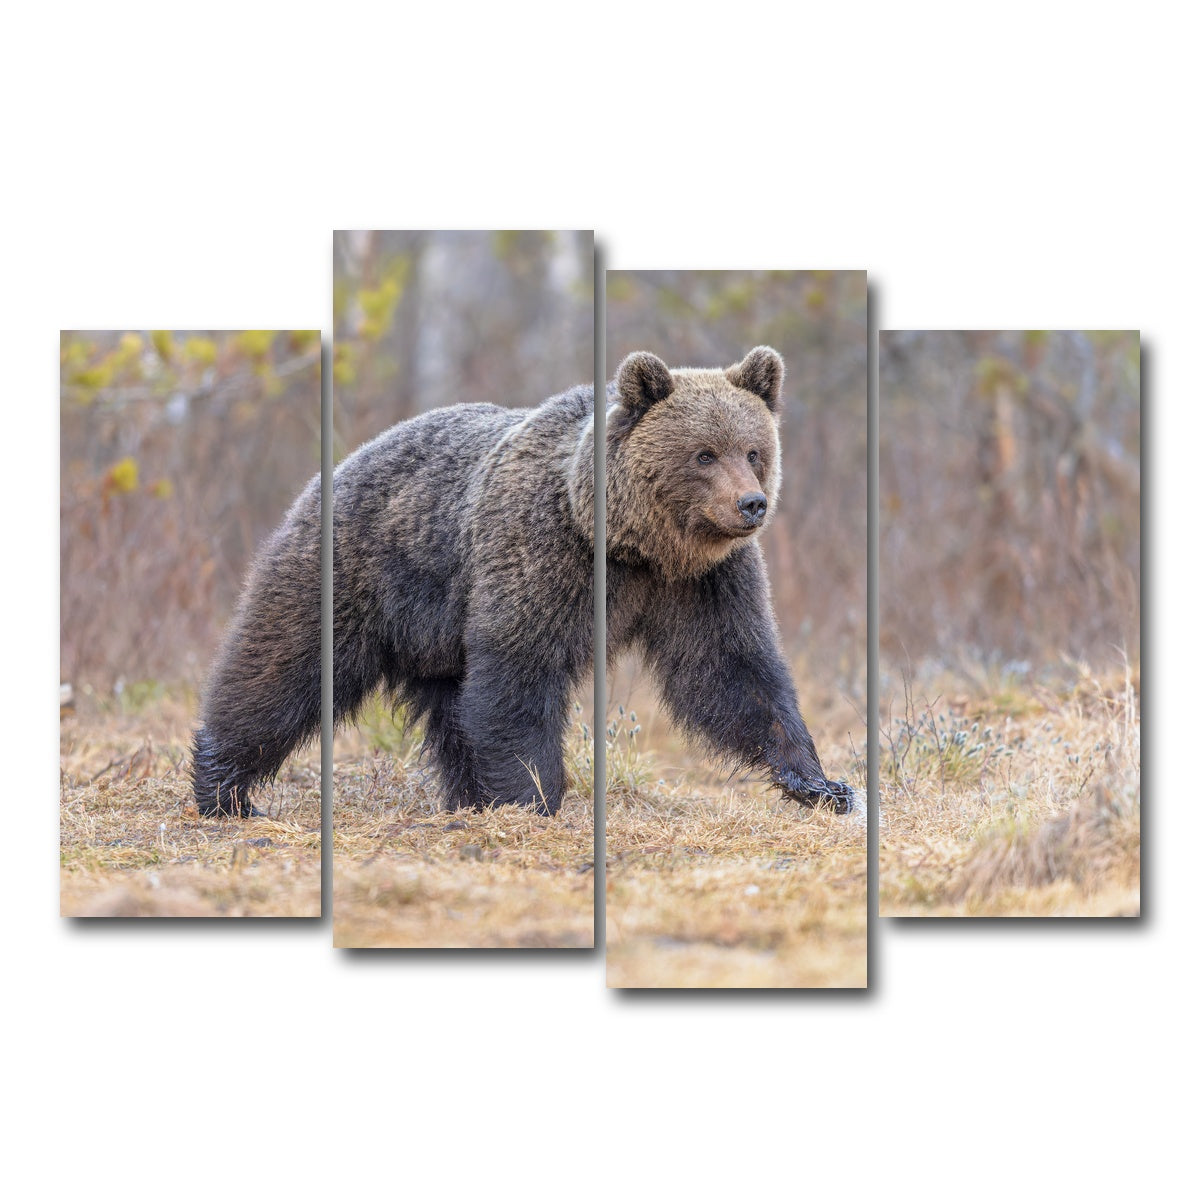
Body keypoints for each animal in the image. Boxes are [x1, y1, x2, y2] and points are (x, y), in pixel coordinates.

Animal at [191, 384, 596, 817]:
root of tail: (337, 467)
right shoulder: (536, 561)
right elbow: (521, 675)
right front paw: (532, 797)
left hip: (434, 633)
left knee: (452, 713)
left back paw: (468, 798)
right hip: (350, 585)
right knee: (282, 672)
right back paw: (225, 790)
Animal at [605, 346, 854, 813]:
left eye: (753, 452)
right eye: (705, 454)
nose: (752, 503)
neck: (648, 550)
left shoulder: (711, 581)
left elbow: (734, 668)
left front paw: (820, 784)